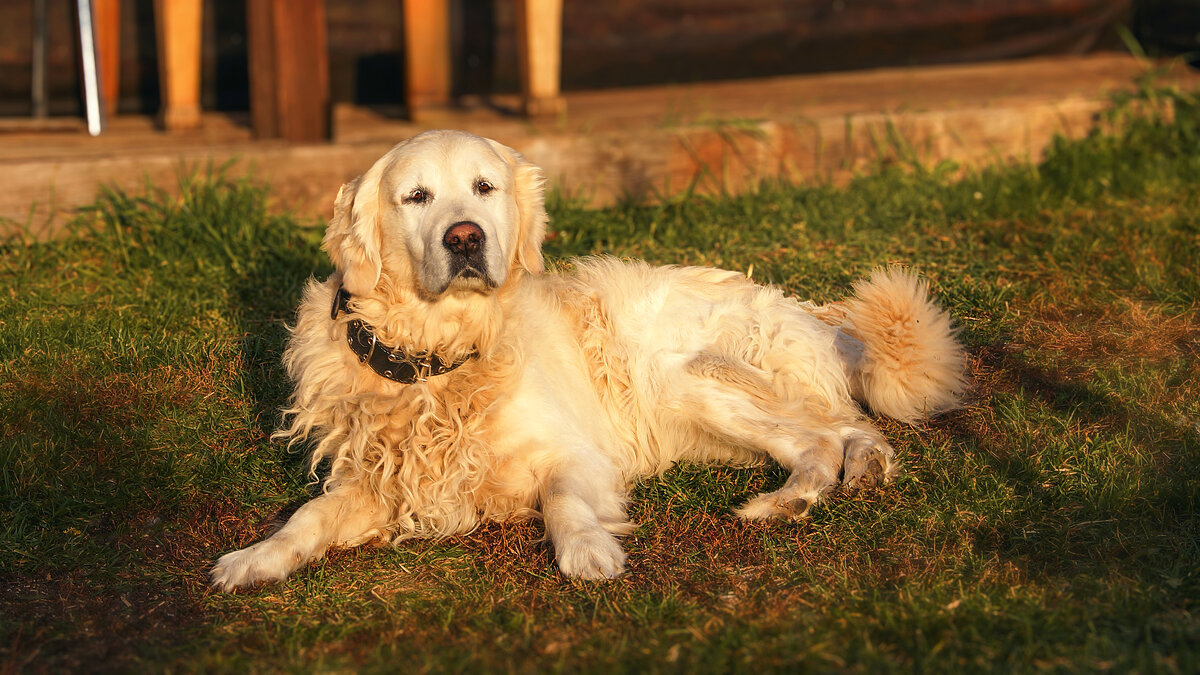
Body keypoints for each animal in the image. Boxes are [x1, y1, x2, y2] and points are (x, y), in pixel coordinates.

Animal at [211, 127, 969, 588]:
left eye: (484, 187)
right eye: (416, 196)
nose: (465, 238)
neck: (440, 360)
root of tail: (808, 309)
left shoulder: (576, 453)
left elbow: (565, 500)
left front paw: (588, 551)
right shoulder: (377, 481)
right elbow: (307, 517)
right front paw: (255, 557)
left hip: (694, 379)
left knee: (830, 435)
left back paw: (788, 501)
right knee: (845, 432)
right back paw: (822, 487)